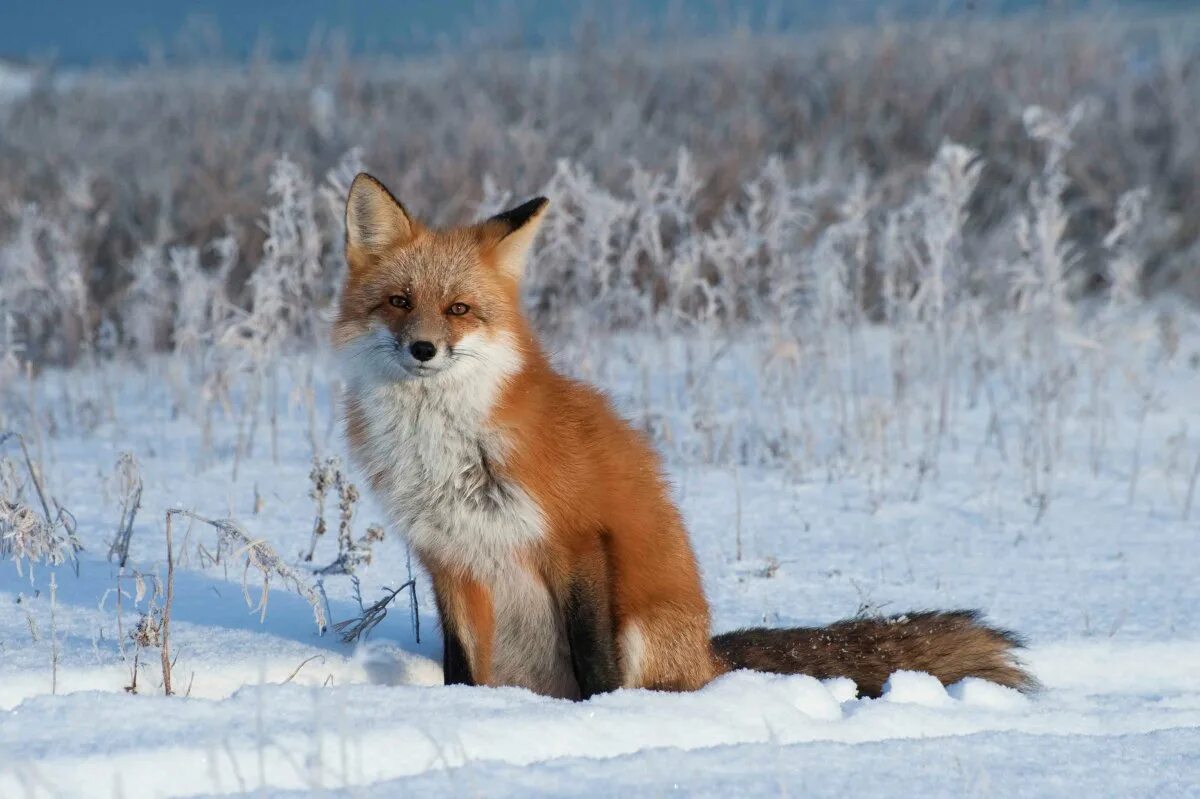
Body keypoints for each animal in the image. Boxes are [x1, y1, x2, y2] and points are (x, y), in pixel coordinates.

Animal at [333, 172, 1036, 695]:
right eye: (399, 302)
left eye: (458, 309)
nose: (423, 349)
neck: (451, 447)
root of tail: (710, 658)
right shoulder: (450, 561)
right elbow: (459, 670)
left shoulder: (579, 538)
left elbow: (594, 663)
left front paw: (602, 718)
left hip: (644, 623)